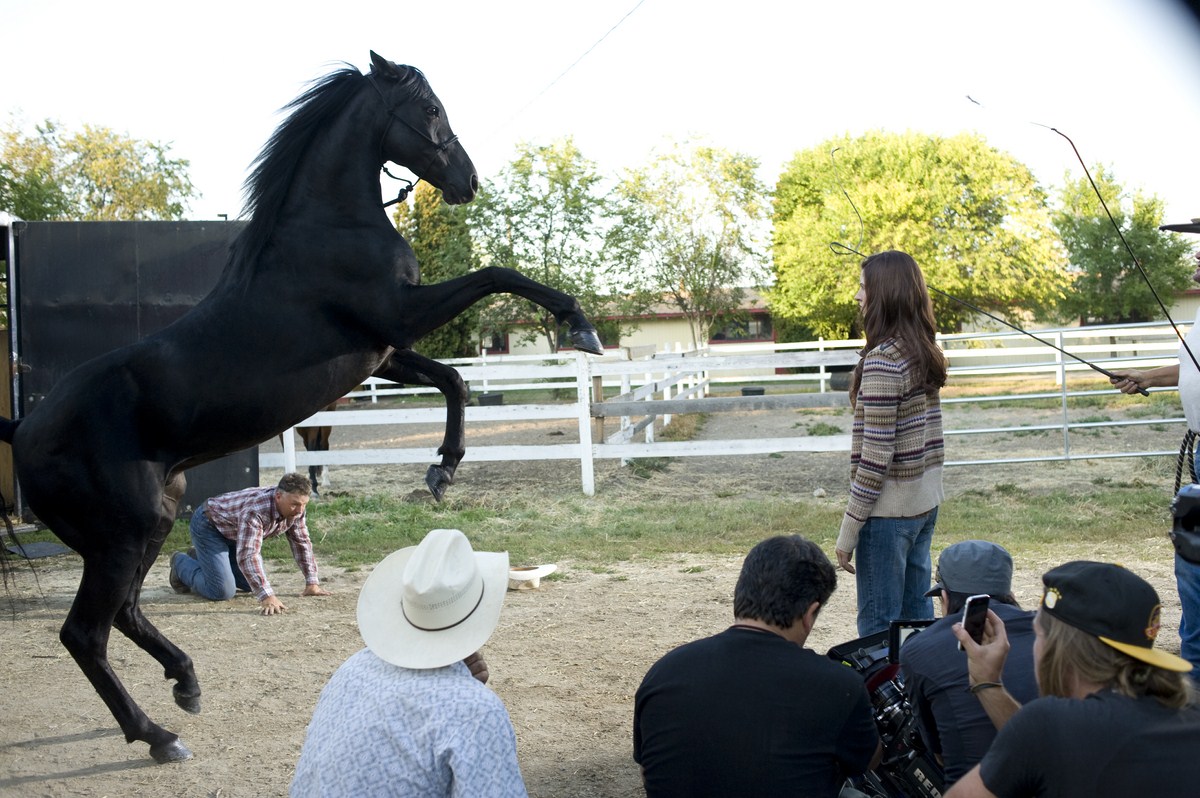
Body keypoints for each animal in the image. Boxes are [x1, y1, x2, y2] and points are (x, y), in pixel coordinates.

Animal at [0, 52, 600, 763]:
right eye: (430, 109)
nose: (468, 181)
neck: (327, 230)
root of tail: (23, 426)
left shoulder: (382, 349)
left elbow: (452, 379)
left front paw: (442, 470)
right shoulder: (399, 316)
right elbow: (498, 275)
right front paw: (580, 326)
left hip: (151, 522)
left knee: (125, 612)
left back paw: (186, 685)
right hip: (120, 537)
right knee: (85, 633)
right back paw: (158, 735)